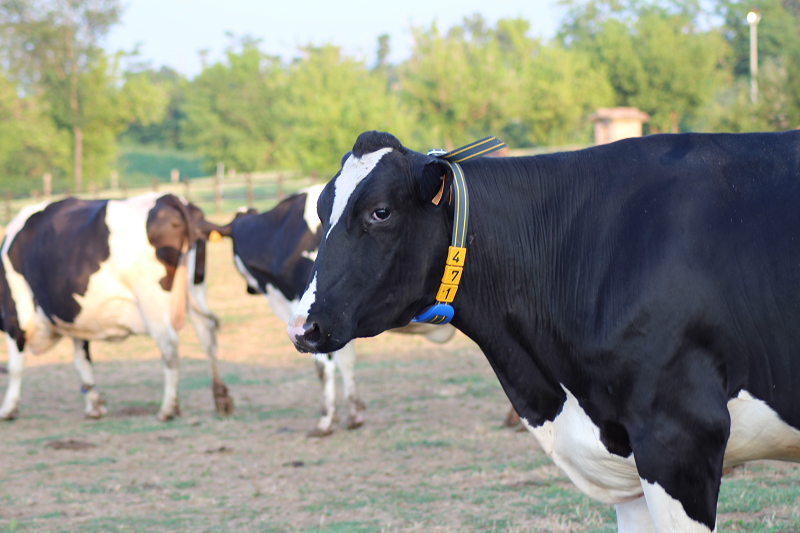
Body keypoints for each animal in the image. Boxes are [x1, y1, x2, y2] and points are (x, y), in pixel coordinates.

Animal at [0, 193, 233, 421]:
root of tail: (167, 198)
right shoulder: (78, 321)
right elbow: (82, 360)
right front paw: (94, 406)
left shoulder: (16, 315)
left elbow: (15, 366)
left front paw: (8, 409)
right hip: (195, 288)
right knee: (207, 335)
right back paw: (221, 399)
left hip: (152, 301)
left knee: (169, 346)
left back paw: (168, 408)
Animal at [200, 184, 455, 436]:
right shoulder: (337, 319)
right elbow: (346, 360)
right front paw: (354, 414)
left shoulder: (313, 317)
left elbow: (323, 366)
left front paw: (326, 420)